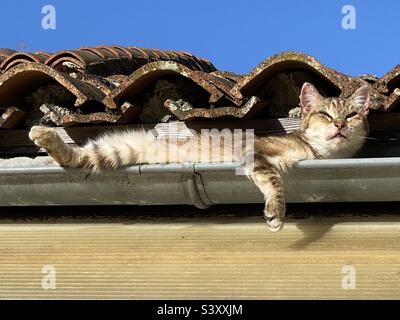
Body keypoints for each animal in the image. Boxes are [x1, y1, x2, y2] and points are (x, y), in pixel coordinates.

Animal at [28, 82, 372, 232]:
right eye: (326, 114)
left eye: (352, 115)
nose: (340, 125)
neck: (316, 152)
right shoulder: (254, 154)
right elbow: (274, 180)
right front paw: (276, 212)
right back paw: (41, 133)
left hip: (110, 154)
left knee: (74, 159)